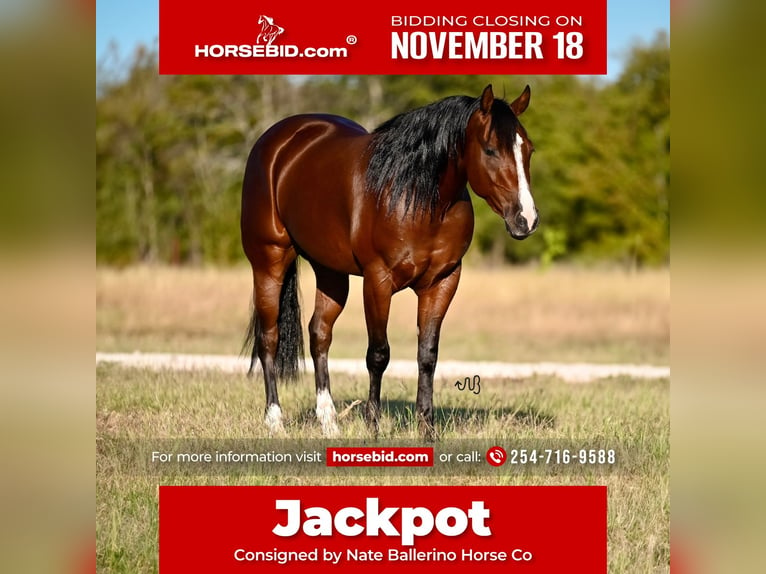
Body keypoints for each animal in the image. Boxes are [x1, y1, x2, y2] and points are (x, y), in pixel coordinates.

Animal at [242, 83, 540, 438]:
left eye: (529, 150)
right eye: (491, 149)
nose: (526, 219)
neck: (418, 198)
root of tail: (278, 140)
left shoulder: (442, 282)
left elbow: (427, 355)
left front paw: (427, 428)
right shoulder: (377, 281)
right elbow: (378, 354)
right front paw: (374, 425)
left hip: (330, 273)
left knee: (319, 334)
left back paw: (329, 421)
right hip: (269, 261)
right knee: (269, 337)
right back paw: (275, 420)